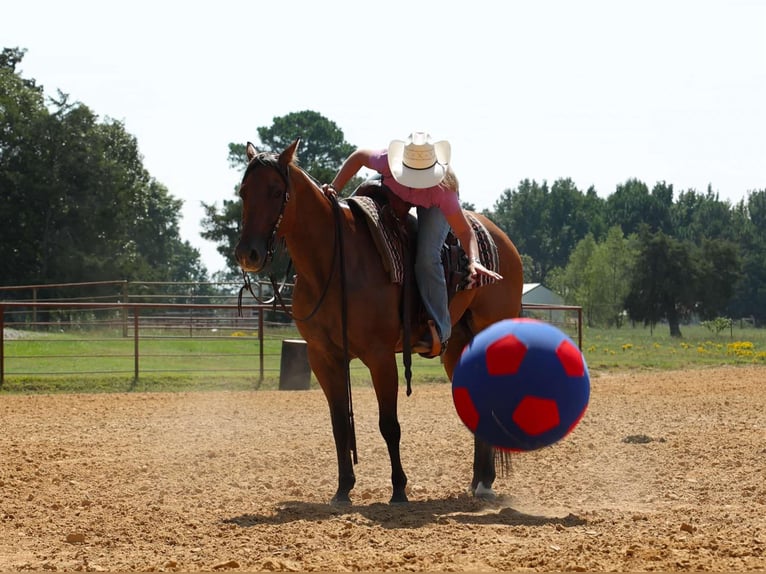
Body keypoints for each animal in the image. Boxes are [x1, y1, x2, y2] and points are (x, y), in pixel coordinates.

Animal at [235, 138, 524, 505]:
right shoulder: (323, 356)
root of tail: (503, 240)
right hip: (458, 345)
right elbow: (339, 424)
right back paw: (478, 482)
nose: (248, 254)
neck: (335, 260)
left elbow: (389, 424)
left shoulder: (380, 356)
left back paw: (484, 484)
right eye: (244, 191)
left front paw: (399, 488)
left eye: (275, 191)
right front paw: (343, 489)